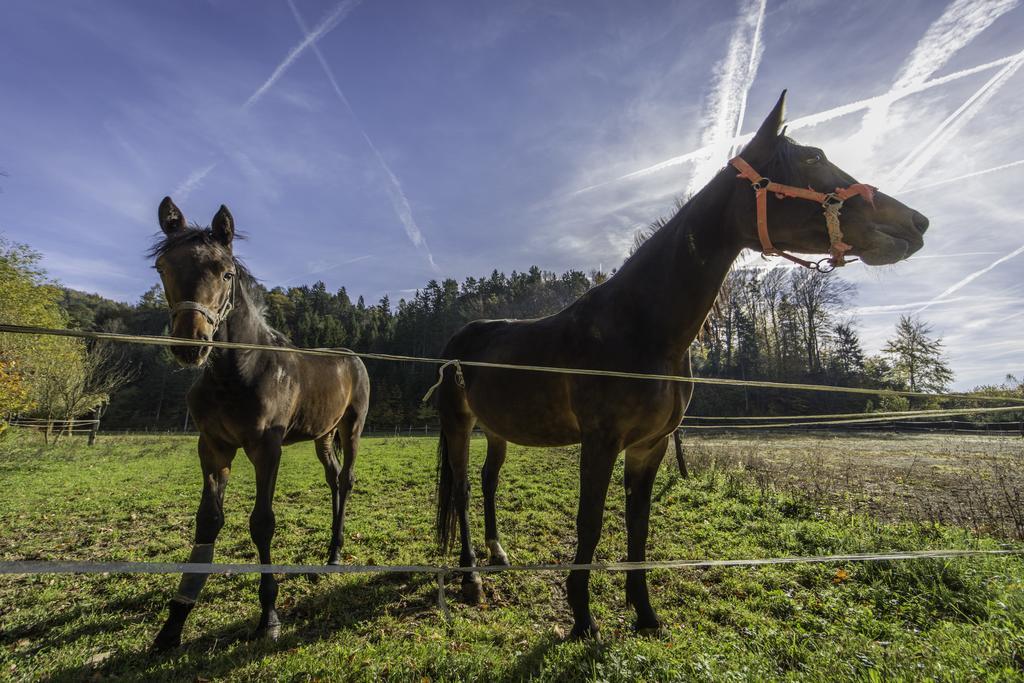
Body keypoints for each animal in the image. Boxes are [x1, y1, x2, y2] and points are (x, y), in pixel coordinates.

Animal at [149, 198, 370, 651]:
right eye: (163, 267)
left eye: (226, 272)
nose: (190, 344)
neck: (239, 371)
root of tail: (352, 357)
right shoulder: (212, 446)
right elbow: (208, 520)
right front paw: (175, 620)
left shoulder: (266, 449)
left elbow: (262, 523)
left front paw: (269, 616)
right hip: (323, 436)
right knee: (333, 478)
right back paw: (330, 552)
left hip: (351, 428)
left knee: (346, 479)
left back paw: (337, 552)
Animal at [436, 92, 933, 643]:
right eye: (812, 158)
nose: (916, 224)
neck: (642, 329)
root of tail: (461, 339)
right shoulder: (601, 442)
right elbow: (590, 523)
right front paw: (584, 620)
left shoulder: (650, 446)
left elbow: (639, 526)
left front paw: (645, 614)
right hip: (457, 424)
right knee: (461, 489)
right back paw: (472, 579)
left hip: (497, 429)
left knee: (487, 481)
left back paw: (498, 554)